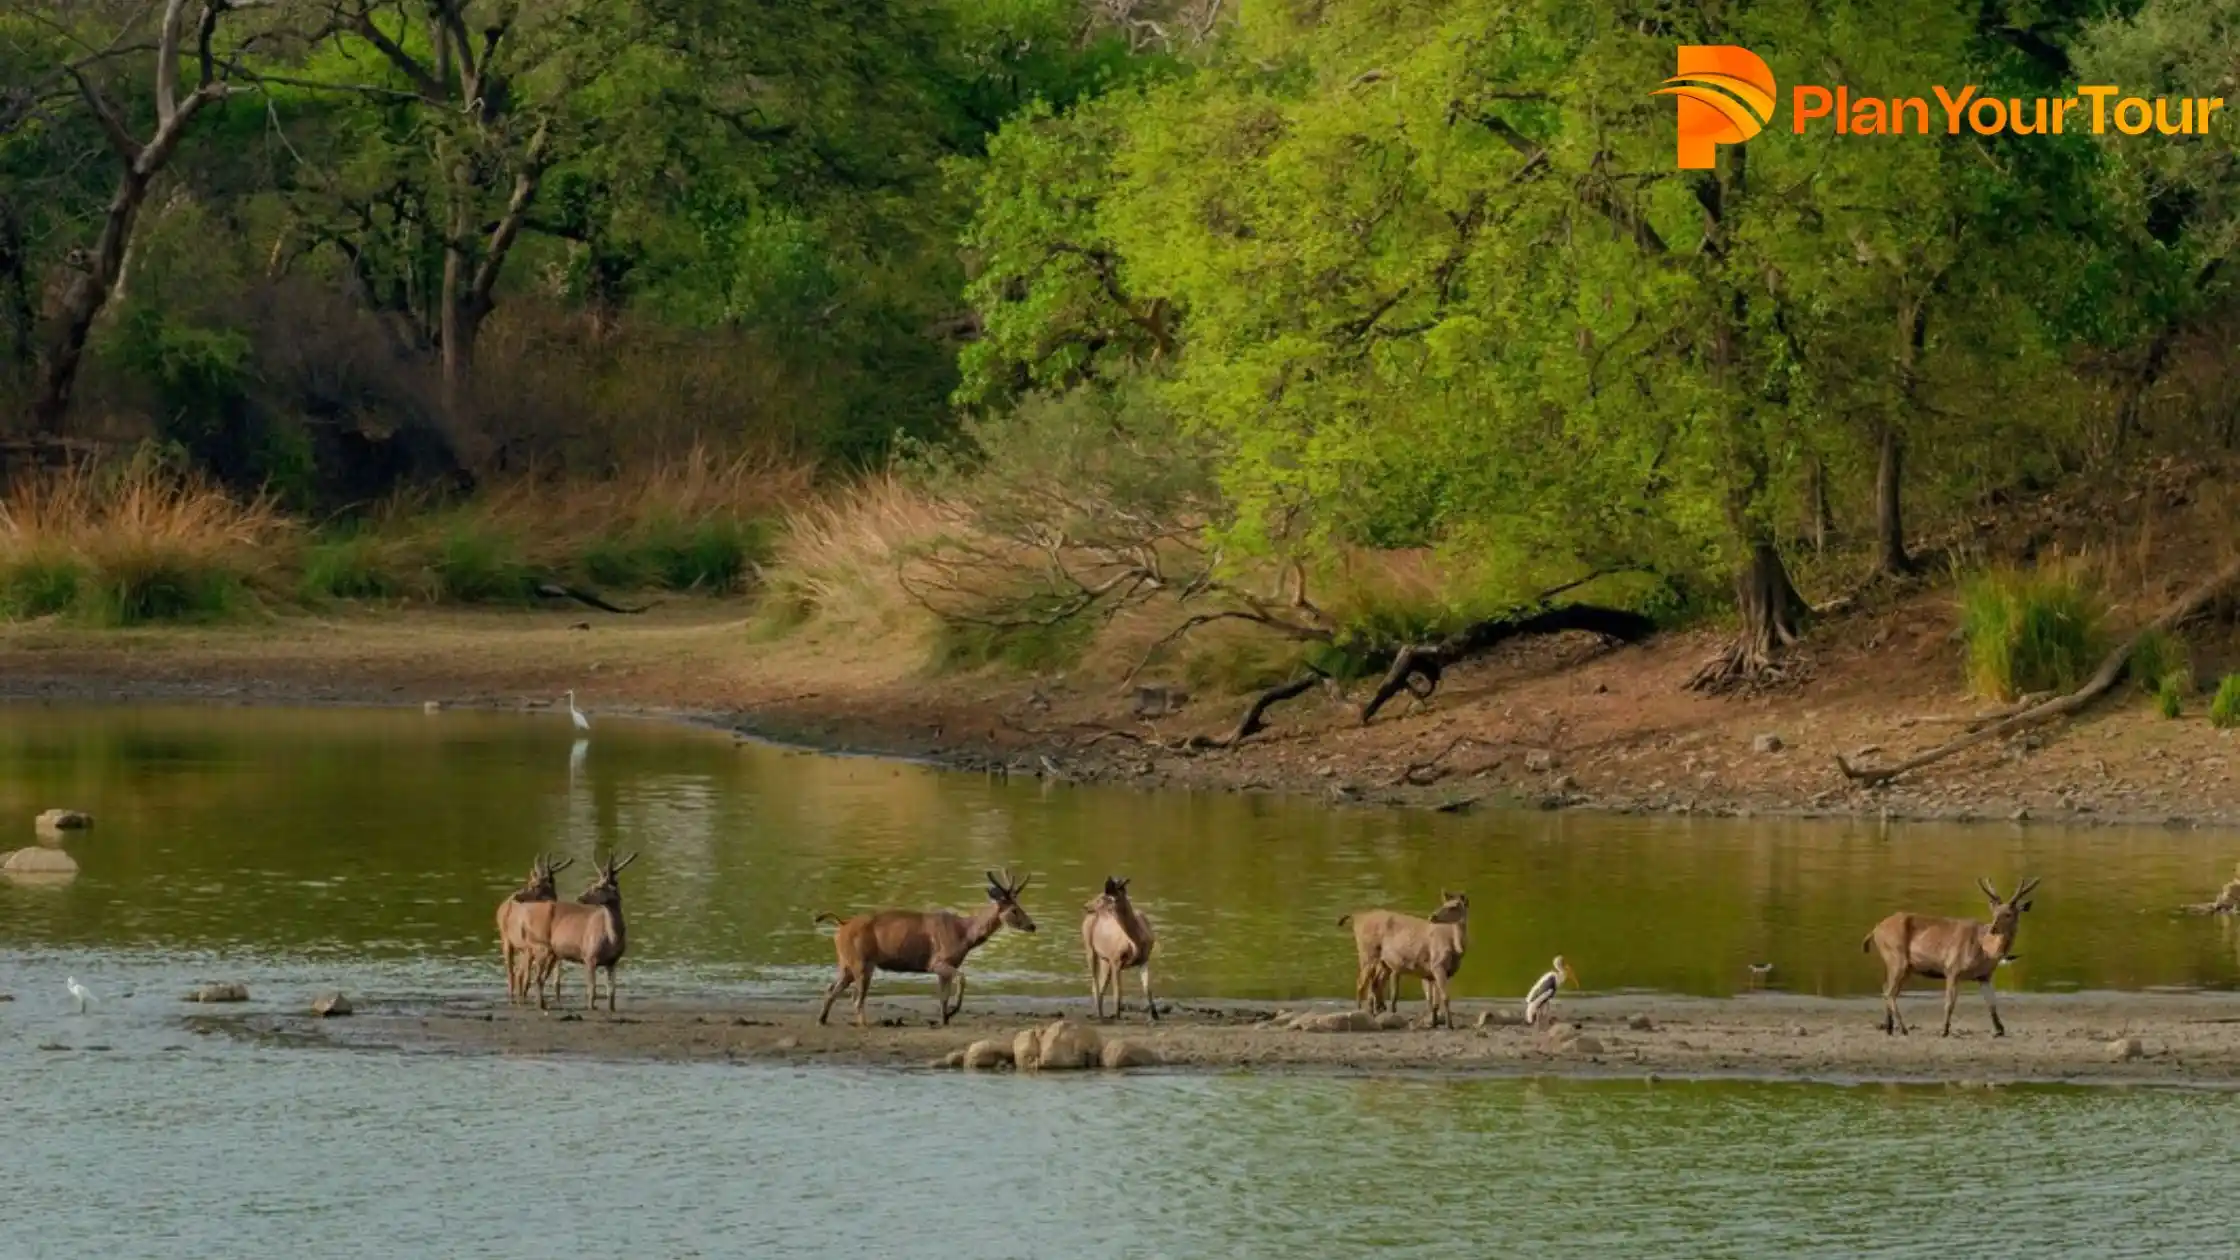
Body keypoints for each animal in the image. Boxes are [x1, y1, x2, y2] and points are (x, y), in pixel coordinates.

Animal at [499, 851, 573, 999]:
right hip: (506, 939)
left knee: (518, 974)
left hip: (522, 948)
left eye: (537, 885)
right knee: (513, 974)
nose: (517, 896)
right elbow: (527, 978)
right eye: (530, 882)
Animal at [535, 842, 649, 1008]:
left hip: (554, 953)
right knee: (536, 977)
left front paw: (612, 1009)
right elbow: (592, 991)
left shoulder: (613, 961)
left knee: (541, 978)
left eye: (599, 887)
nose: (580, 897)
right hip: (542, 947)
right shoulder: (589, 956)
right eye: (594, 883)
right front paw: (591, 1008)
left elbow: (611, 992)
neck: (612, 939)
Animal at [815, 869, 1039, 1026]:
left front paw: (945, 1018)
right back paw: (864, 1024)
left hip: (847, 963)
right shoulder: (937, 961)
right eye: (1014, 909)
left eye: (1020, 906)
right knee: (856, 998)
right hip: (862, 962)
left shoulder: (945, 967)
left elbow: (943, 997)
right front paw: (953, 1012)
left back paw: (822, 1019)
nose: (1032, 925)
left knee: (831, 989)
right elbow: (962, 978)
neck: (964, 934)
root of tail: (841, 924)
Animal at [1079, 878, 1164, 1013]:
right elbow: (1117, 995)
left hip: (1104, 959)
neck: (1135, 942)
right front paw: (1117, 1015)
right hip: (1090, 948)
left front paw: (1155, 1016)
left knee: (1100, 986)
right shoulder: (1115, 960)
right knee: (1095, 984)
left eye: (1105, 897)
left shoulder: (1144, 959)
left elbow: (1148, 991)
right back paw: (1099, 1014)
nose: (1086, 906)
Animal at [1863, 869, 2042, 1035]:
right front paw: (1944, 1031)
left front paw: (2000, 1030)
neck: (1985, 950)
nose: (1993, 929)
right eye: (1994, 913)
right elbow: (1950, 1003)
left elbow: (1992, 1003)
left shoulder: (1984, 976)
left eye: (2008, 914)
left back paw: (1889, 1027)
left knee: (1887, 989)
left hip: (1904, 966)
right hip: (1897, 957)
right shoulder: (1952, 968)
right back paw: (1903, 1028)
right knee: (1889, 993)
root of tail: (1875, 930)